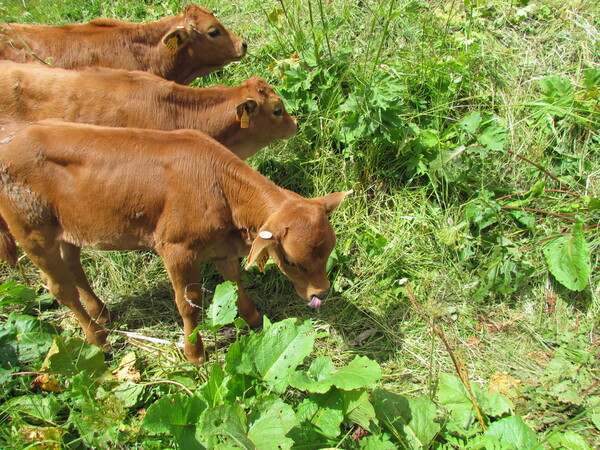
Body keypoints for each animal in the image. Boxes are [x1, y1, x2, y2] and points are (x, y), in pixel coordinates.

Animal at [0, 121, 352, 364]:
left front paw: (253, 318)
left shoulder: (221, 246)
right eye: (292, 261)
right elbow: (189, 302)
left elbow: (234, 282)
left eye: (328, 251)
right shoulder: (176, 249)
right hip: (31, 231)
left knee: (74, 265)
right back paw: (98, 339)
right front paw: (194, 352)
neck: (219, 185)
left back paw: (100, 311)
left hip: (70, 227)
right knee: (60, 288)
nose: (321, 293)